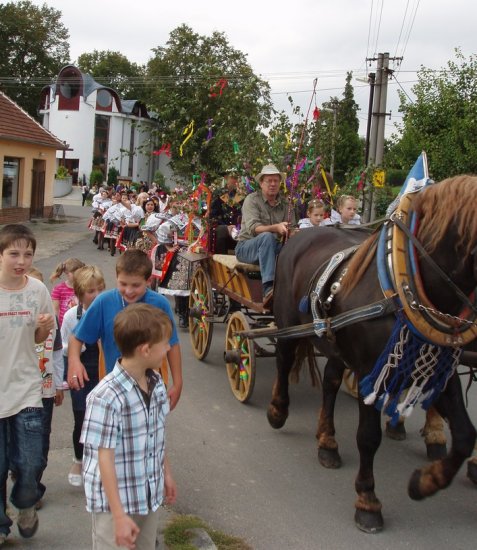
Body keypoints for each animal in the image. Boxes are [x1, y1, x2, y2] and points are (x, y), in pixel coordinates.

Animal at [268, 177, 476, 536]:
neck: (405, 286)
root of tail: (299, 233)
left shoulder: (439, 368)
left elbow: (464, 436)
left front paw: (425, 482)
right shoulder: (369, 373)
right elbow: (368, 438)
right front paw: (367, 501)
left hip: (334, 342)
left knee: (330, 382)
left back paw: (327, 443)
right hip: (286, 323)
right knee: (283, 360)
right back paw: (278, 411)